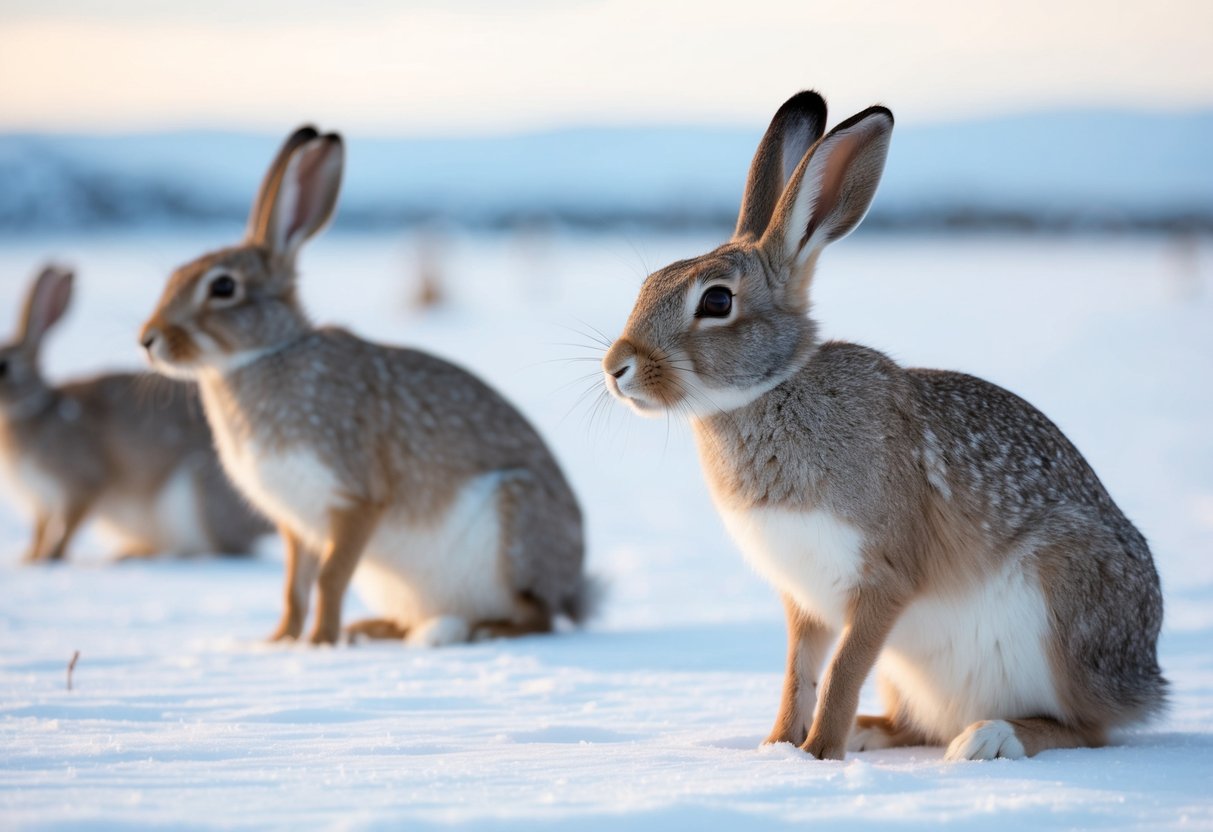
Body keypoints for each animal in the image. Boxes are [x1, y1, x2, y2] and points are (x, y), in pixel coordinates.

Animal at [0, 264, 269, 563]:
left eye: (3, 367)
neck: (31, 409)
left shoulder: (80, 484)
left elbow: (67, 527)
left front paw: (49, 558)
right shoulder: (40, 503)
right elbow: (41, 530)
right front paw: (29, 559)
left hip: (193, 504)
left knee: (221, 548)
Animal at [138, 126, 589, 647]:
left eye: (224, 287)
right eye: (176, 275)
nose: (147, 339)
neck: (268, 353)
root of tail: (573, 585)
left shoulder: (355, 500)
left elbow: (331, 577)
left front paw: (319, 643)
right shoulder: (297, 521)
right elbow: (294, 585)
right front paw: (280, 642)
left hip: (515, 522)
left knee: (536, 614)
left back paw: (480, 632)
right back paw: (378, 629)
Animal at [601, 91, 1165, 761]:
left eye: (716, 301)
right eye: (646, 283)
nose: (617, 368)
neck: (772, 390)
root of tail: (1146, 677)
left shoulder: (882, 579)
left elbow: (843, 670)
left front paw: (819, 754)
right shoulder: (805, 598)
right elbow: (798, 674)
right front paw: (778, 750)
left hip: (1060, 612)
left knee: (1088, 728)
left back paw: (989, 738)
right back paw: (877, 732)